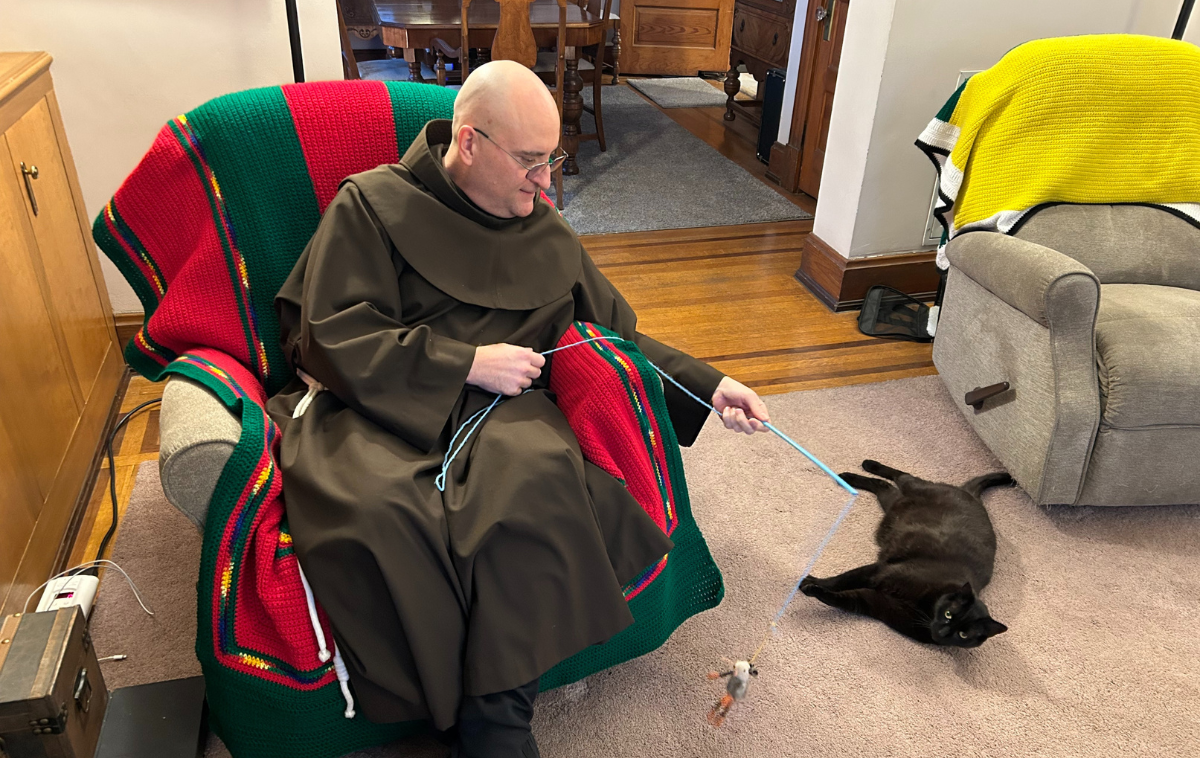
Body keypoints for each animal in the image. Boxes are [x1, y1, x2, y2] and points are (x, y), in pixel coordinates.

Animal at [801, 458, 1008, 647]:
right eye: (949, 614)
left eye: (963, 634)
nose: (943, 632)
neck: (925, 607)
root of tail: (973, 496)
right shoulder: (879, 572)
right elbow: (841, 580)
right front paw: (808, 581)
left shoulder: (876, 603)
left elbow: (839, 597)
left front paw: (812, 588)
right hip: (914, 486)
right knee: (901, 476)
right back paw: (861, 468)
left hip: (891, 503)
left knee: (883, 486)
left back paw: (850, 478)